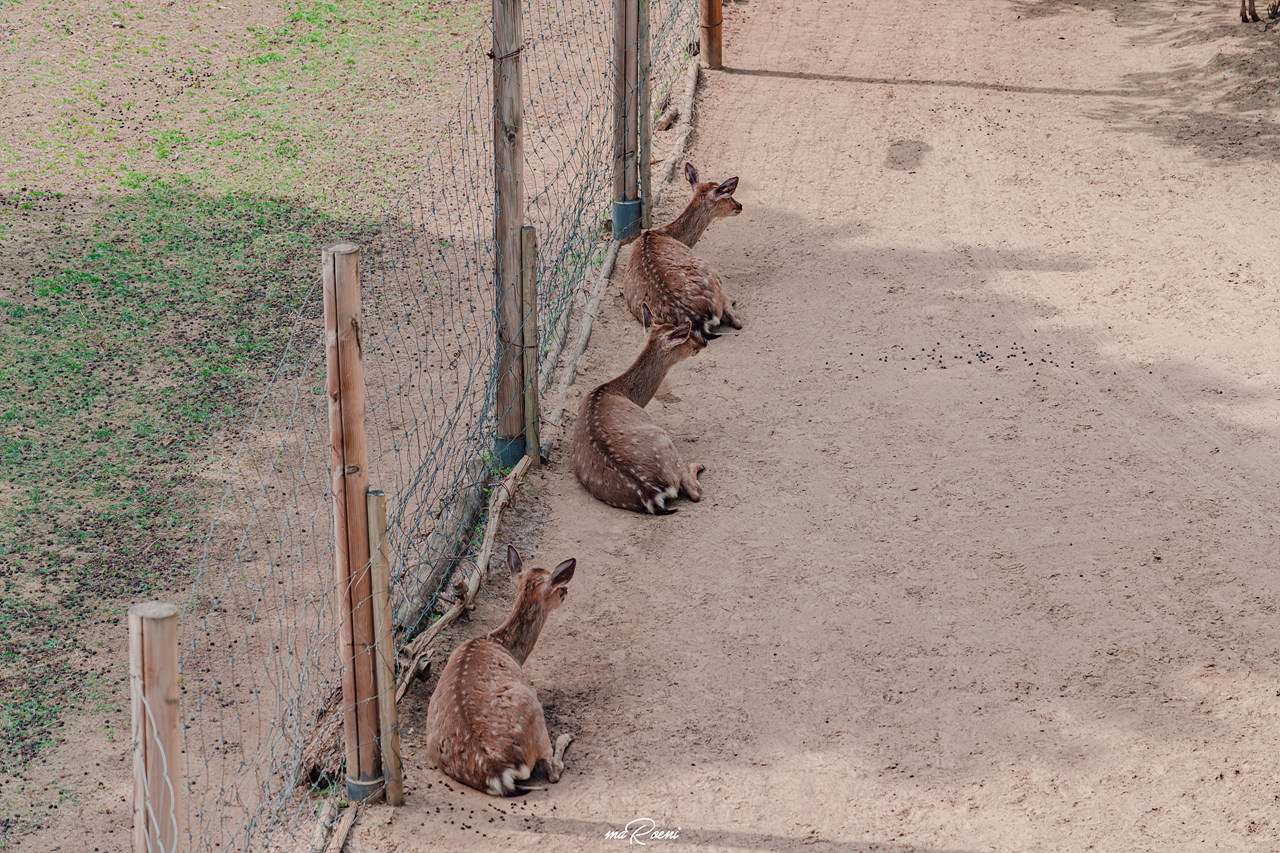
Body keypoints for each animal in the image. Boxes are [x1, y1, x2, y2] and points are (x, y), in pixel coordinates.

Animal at [424, 545, 576, 799]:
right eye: (555, 586)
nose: (565, 590)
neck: (503, 645)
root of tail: (496, 772)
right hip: (530, 705)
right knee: (553, 770)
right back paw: (565, 738)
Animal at [573, 306, 711, 512]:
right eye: (686, 336)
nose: (704, 341)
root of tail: (651, 494)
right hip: (661, 437)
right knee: (692, 490)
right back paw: (698, 465)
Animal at [619, 162, 742, 338]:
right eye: (728, 196)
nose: (739, 205)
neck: (665, 232)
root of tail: (696, 321)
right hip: (709, 270)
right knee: (735, 319)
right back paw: (733, 302)